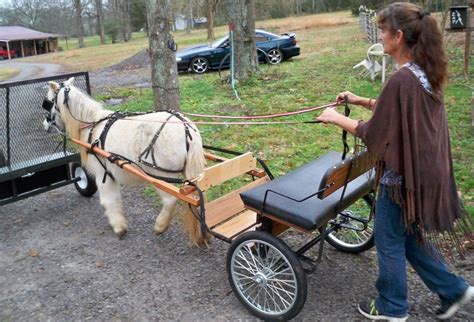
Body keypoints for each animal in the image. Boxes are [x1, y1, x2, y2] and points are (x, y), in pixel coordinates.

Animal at [43, 77, 207, 247]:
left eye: (48, 101)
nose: (45, 124)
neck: (93, 125)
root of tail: (187, 128)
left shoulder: (103, 173)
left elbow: (109, 200)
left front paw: (119, 226)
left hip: (159, 175)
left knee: (171, 199)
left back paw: (160, 225)